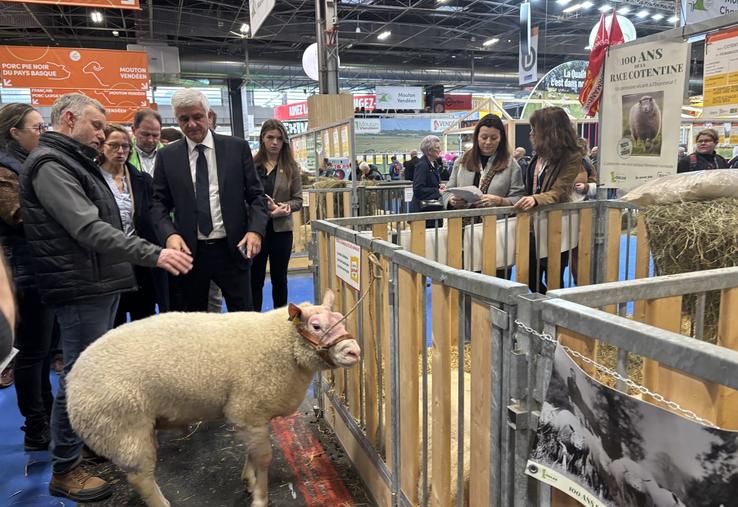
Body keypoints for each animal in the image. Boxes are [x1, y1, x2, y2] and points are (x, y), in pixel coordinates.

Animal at [66, 292, 360, 507]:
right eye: (316, 326)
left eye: (341, 319)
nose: (354, 351)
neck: (282, 346)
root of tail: (71, 382)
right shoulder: (249, 410)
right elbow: (264, 457)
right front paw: (260, 497)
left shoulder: (249, 415)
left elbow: (252, 452)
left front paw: (248, 480)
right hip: (124, 430)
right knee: (141, 479)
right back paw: (161, 503)